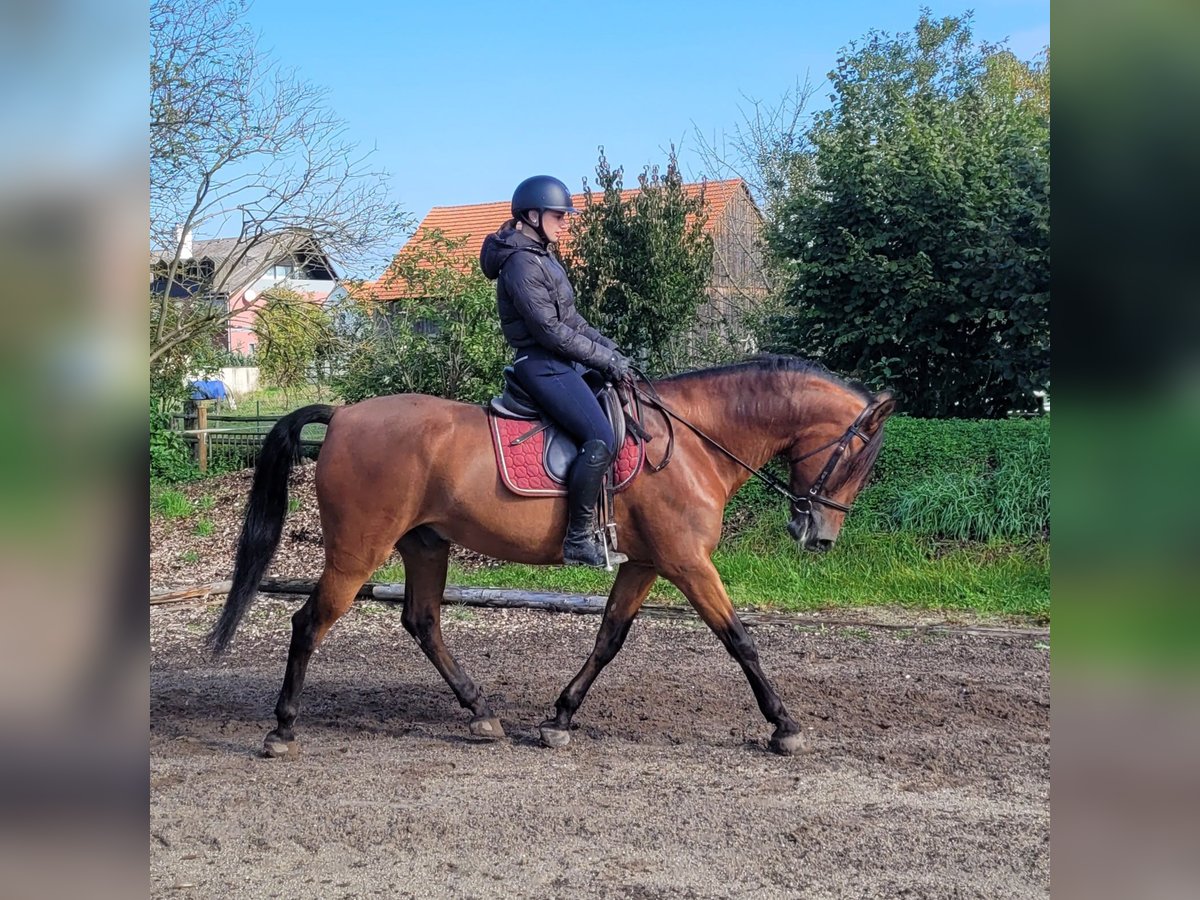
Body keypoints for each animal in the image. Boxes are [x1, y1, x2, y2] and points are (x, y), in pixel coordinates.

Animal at [209, 356, 895, 757]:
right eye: (856, 461)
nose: (819, 536)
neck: (692, 442)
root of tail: (344, 415)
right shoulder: (687, 563)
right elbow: (740, 639)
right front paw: (785, 726)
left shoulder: (646, 563)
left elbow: (609, 637)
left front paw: (561, 718)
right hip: (358, 551)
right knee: (309, 623)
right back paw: (283, 729)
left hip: (425, 544)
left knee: (423, 622)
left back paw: (482, 714)